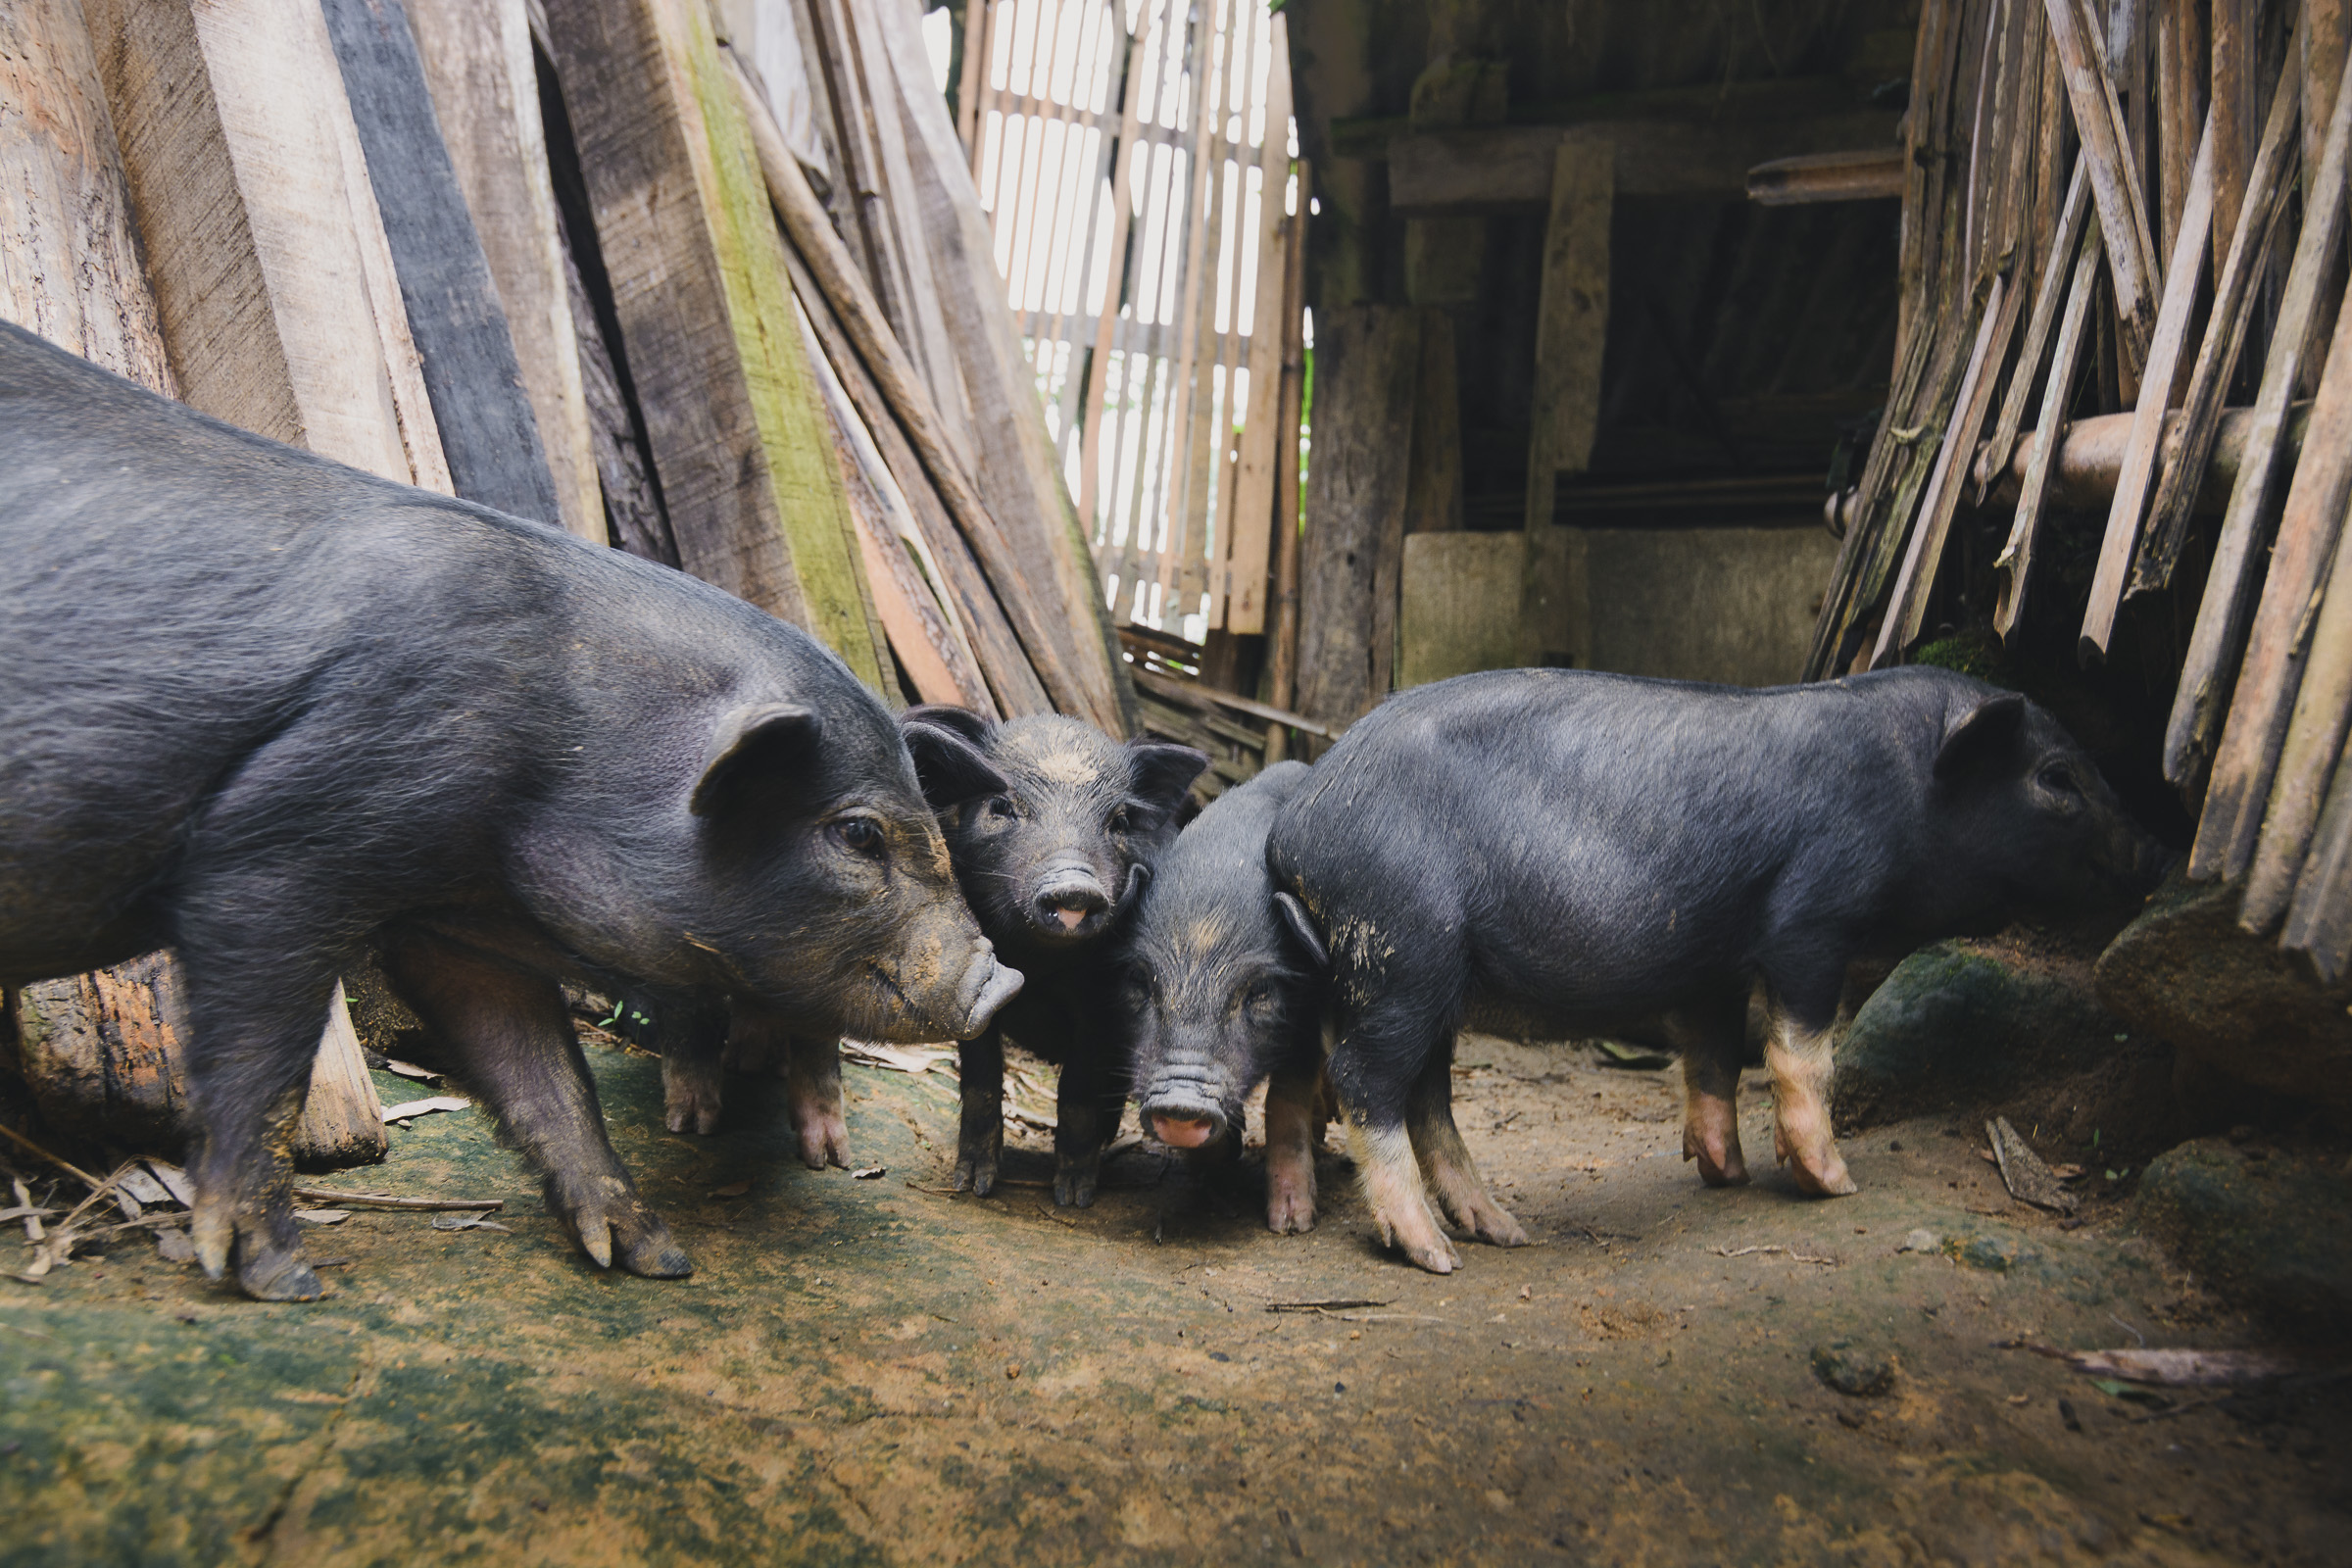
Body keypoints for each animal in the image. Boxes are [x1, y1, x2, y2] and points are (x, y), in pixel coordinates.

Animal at [0, 321, 1020, 1300]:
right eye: (858, 833)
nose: (1003, 979)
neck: (559, 750)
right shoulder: (271, 851)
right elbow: (266, 1062)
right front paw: (285, 1281)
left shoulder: (455, 920)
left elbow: (545, 1077)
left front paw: (655, 1258)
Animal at [902, 707, 1207, 1206]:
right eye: (1001, 806)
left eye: (1119, 821)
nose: (1075, 887)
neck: (1040, 965)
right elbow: (982, 1078)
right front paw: (972, 1186)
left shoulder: (1102, 1002)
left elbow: (1078, 1090)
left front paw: (1075, 1196)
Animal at [1121, 762, 1335, 1234]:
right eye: (1141, 981)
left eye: (1259, 991)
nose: (1180, 1104)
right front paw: (1215, 1176)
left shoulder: (1307, 1017)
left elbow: (1285, 1102)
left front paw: (1291, 1225)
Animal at [1264, 666, 2174, 1274]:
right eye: (2056, 778)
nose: (2156, 852)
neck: (1907, 786)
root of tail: (1297, 827)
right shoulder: (1813, 917)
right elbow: (1802, 1054)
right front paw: (1834, 1187)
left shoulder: (1711, 960)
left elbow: (1713, 1056)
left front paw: (1725, 1175)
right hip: (1401, 944)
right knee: (1369, 1079)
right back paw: (1434, 1254)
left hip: (1431, 975)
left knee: (1425, 1093)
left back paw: (1502, 1230)